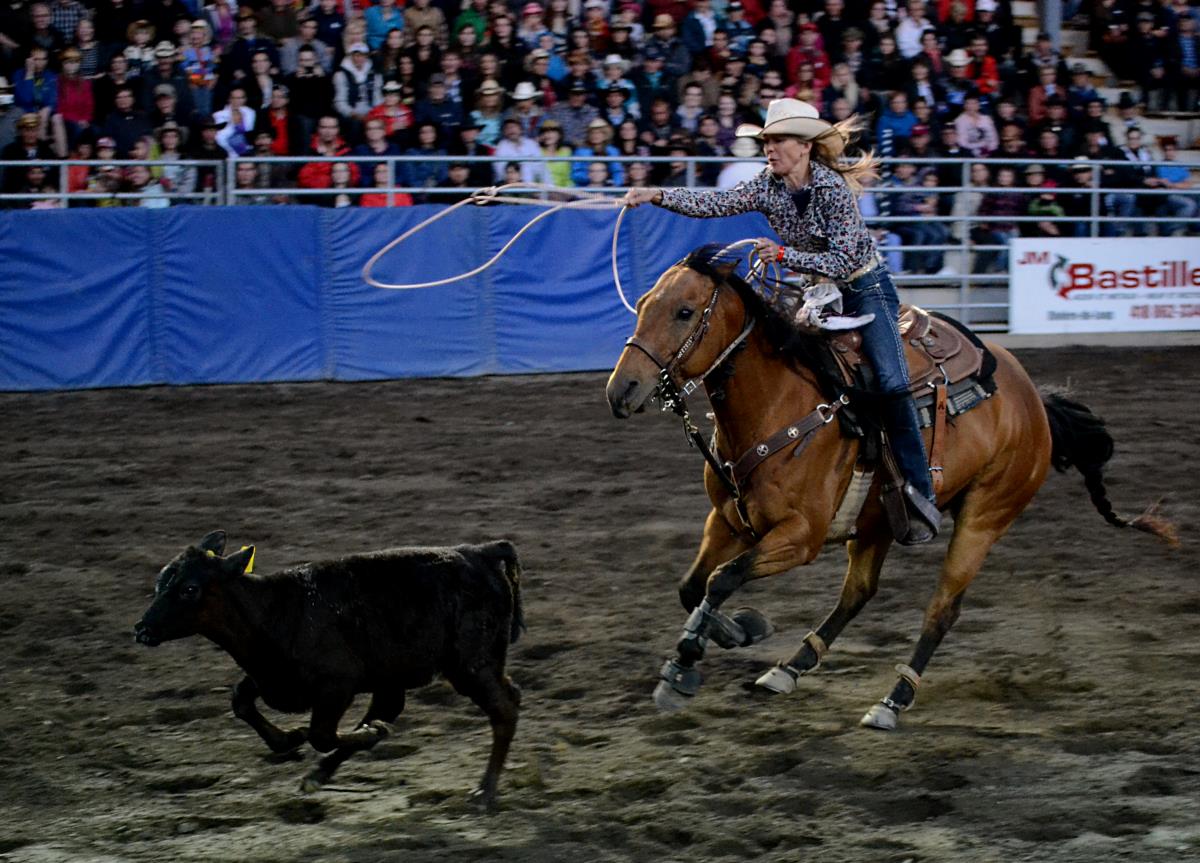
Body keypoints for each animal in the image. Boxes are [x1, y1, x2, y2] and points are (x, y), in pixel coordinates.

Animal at [133, 532, 523, 811]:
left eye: (189, 589)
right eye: (159, 582)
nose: (141, 629)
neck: (277, 611)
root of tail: (482, 552)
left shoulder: (337, 685)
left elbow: (320, 734)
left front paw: (367, 734)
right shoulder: (272, 676)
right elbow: (241, 700)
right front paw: (288, 739)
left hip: (471, 665)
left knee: (504, 710)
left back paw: (484, 793)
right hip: (402, 673)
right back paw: (320, 773)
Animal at [604, 246, 1176, 734]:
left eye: (684, 312)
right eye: (644, 304)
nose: (621, 390)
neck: (779, 406)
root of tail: (1035, 400)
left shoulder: (800, 537)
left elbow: (722, 579)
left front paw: (682, 669)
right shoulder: (726, 519)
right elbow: (694, 586)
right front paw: (738, 630)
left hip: (985, 517)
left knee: (942, 610)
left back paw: (893, 700)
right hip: (876, 519)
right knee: (858, 593)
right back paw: (791, 667)